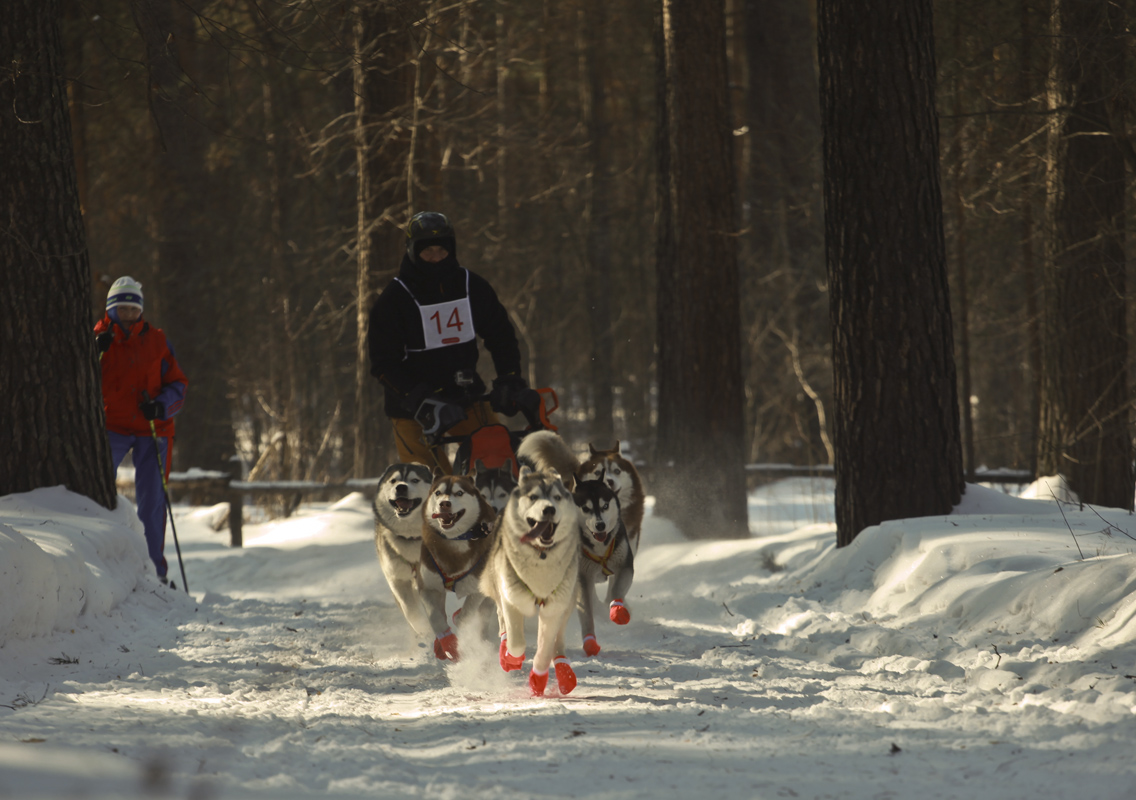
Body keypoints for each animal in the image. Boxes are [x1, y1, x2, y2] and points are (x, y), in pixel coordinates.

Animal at [372, 463, 433, 636]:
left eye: (415, 480)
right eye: (394, 480)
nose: (401, 487)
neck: (412, 537)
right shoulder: (398, 580)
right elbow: (412, 612)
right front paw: (426, 631)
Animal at [422, 468, 497, 663]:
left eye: (459, 493)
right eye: (438, 493)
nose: (444, 504)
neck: (455, 541)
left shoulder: (478, 589)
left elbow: (464, 617)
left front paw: (457, 644)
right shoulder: (428, 586)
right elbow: (435, 618)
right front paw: (446, 644)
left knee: (483, 614)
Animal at [572, 481, 636, 654]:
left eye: (605, 505)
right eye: (585, 508)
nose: (600, 525)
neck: (600, 549)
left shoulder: (624, 565)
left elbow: (616, 591)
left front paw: (617, 610)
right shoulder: (582, 576)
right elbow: (586, 610)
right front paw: (589, 641)